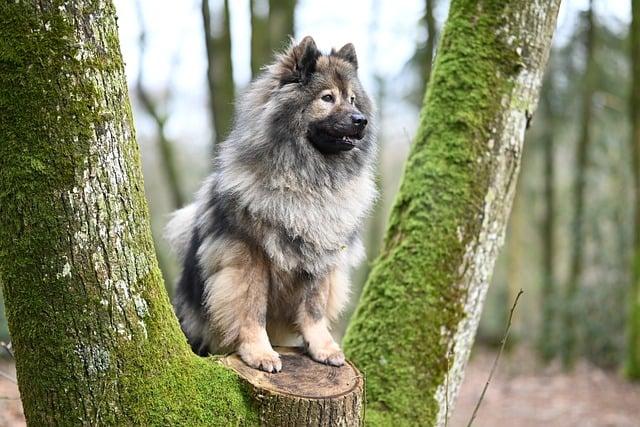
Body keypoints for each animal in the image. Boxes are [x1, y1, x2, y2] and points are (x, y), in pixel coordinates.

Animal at [165, 36, 378, 372]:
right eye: (327, 98)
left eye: (353, 99)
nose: (361, 120)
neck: (307, 181)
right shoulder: (248, 255)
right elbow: (251, 308)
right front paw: (259, 352)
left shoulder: (321, 255)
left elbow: (314, 308)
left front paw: (322, 347)